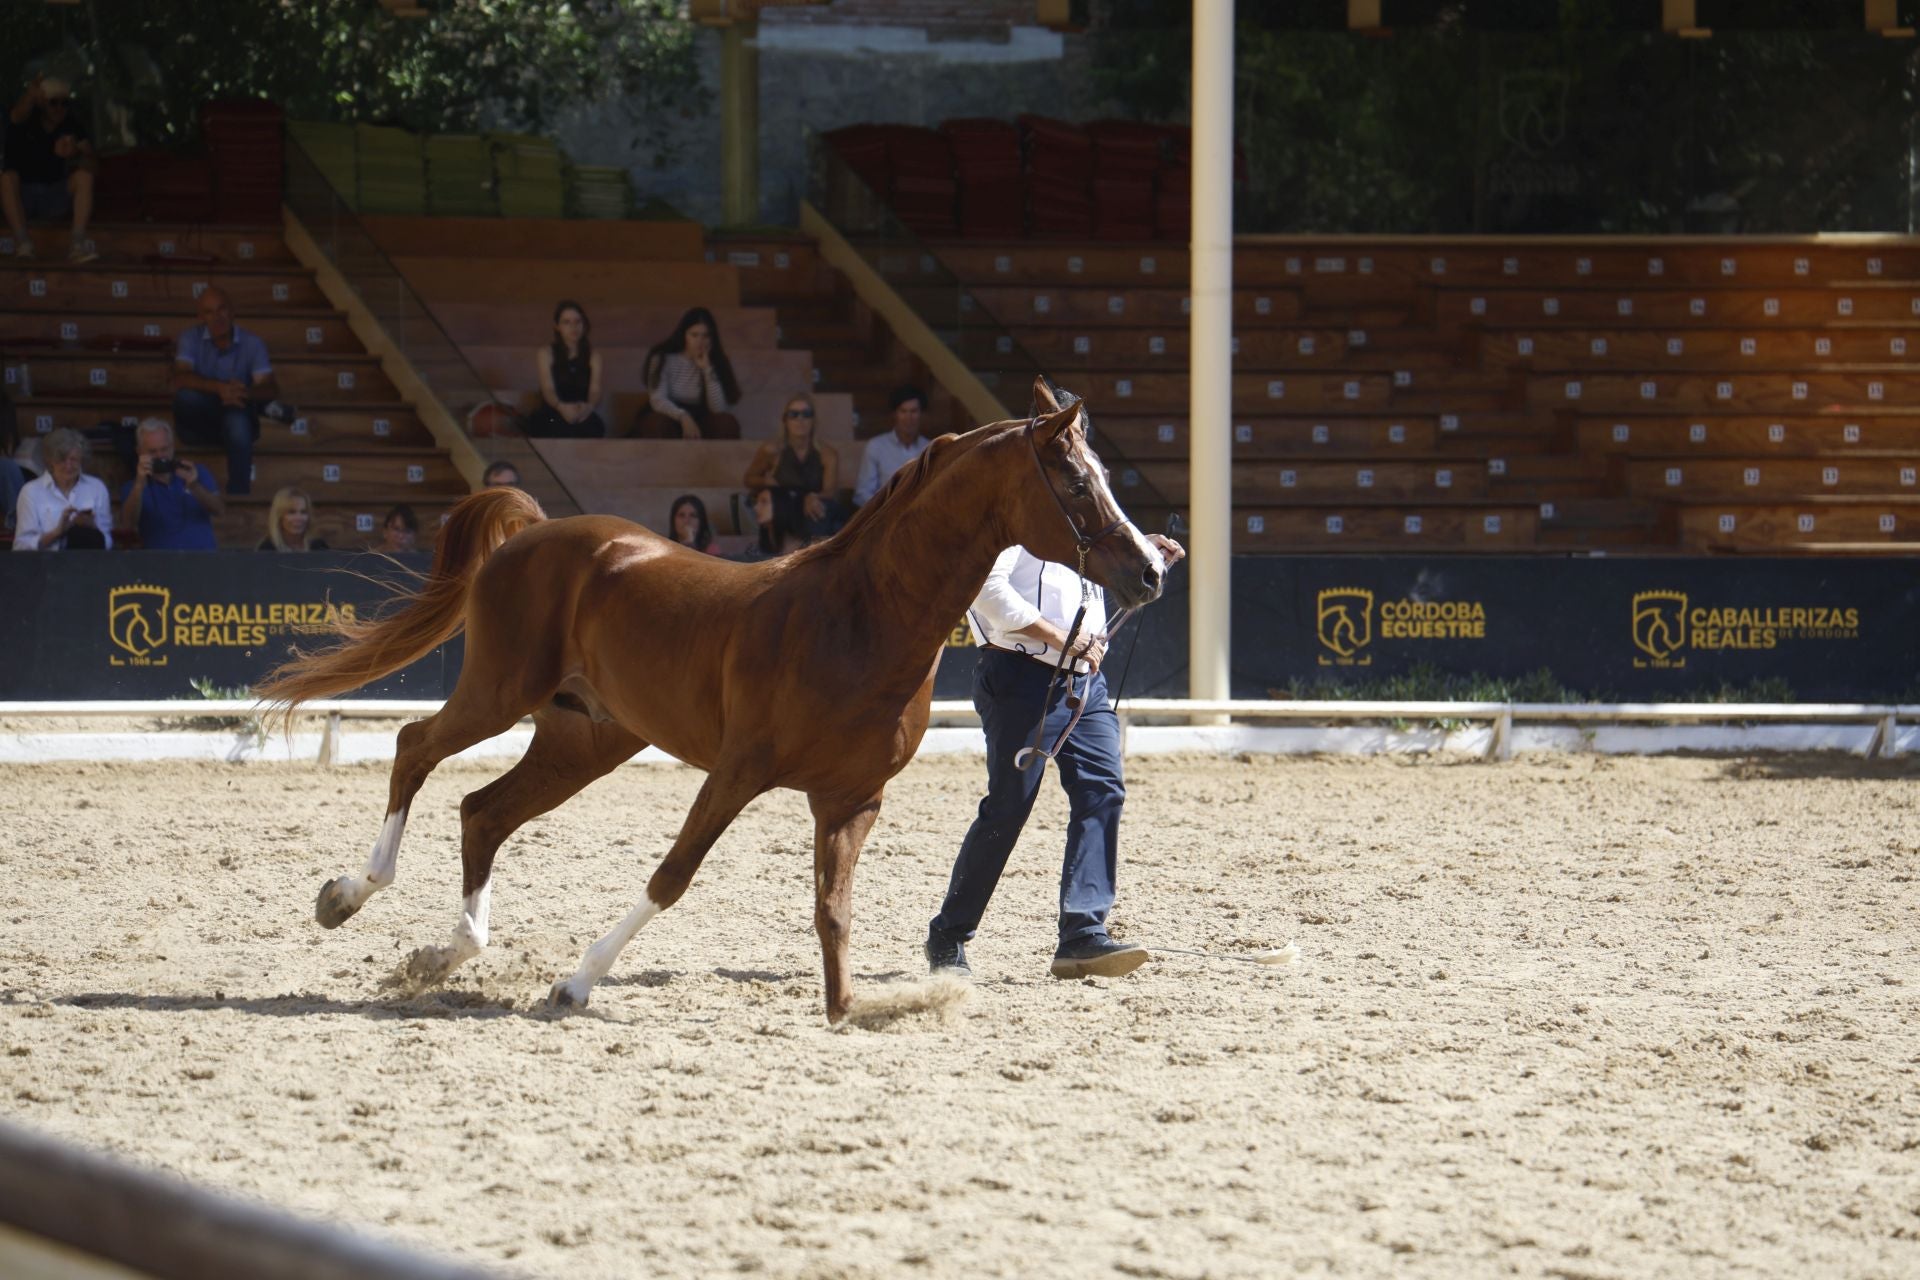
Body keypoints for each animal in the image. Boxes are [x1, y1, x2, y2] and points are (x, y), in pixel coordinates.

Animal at [257, 377, 1165, 1023]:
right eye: (1075, 482)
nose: (1152, 571)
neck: (857, 617)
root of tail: (534, 530)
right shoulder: (736, 772)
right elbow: (673, 876)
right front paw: (573, 987)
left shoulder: (851, 799)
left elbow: (833, 911)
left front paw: (852, 1008)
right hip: (497, 692)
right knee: (415, 749)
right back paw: (347, 897)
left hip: (583, 740)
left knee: (482, 812)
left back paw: (443, 956)